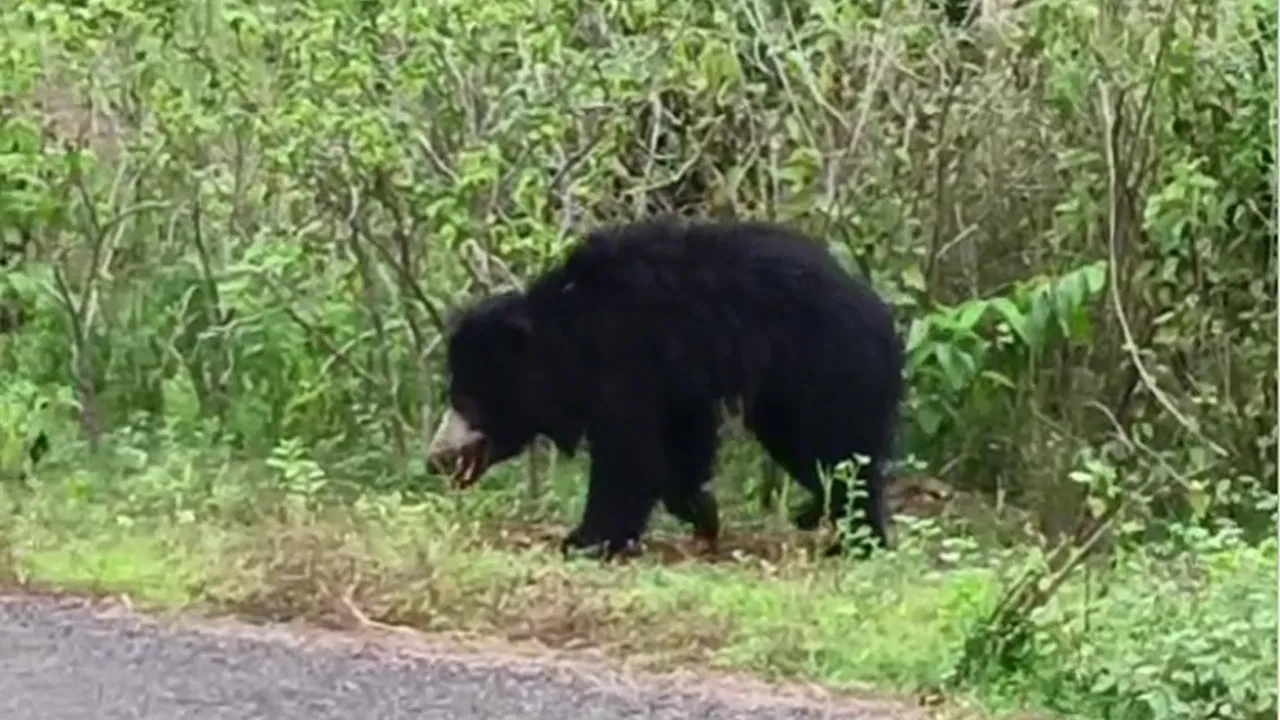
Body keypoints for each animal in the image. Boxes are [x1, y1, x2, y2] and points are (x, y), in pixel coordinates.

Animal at [424, 215, 906, 558]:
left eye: (465, 398)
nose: (436, 459)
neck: (570, 335)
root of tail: (887, 324)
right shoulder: (676, 380)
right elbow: (680, 442)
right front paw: (703, 513)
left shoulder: (630, 354)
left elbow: (628, 452)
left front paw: (585, 539)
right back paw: (815, 515)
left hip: (822, 371)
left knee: (840, 452)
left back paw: (854, 538)